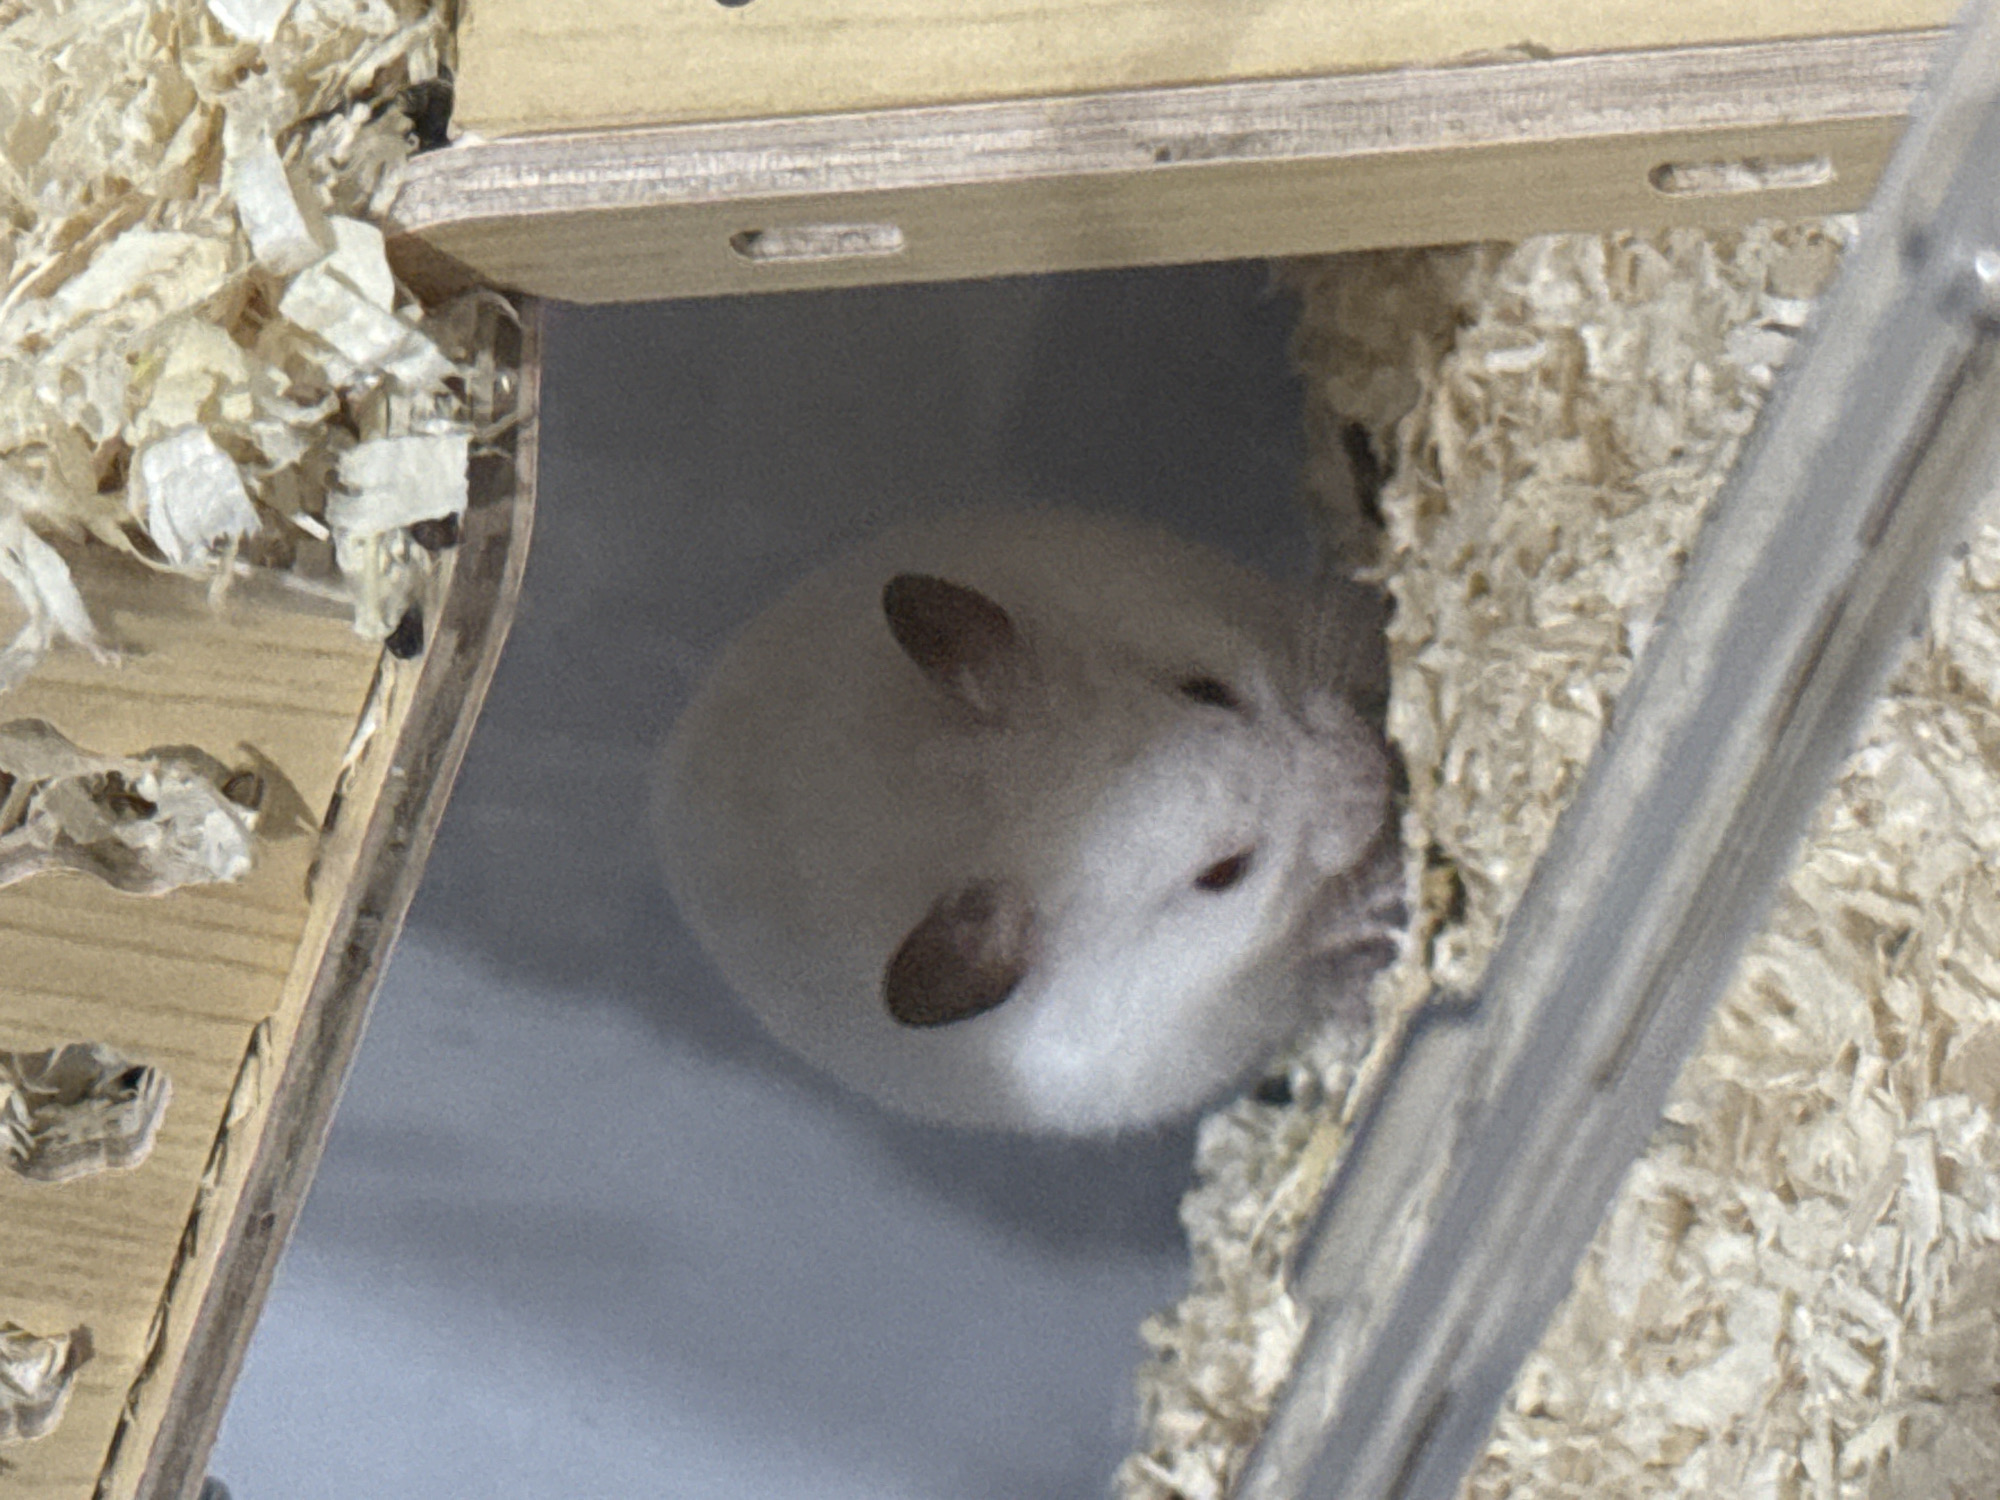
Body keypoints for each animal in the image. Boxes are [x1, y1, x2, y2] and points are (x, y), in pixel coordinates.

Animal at [655, 509, 1402, 1135]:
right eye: (1223, 874)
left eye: (1207, 690)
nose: (1377, 766)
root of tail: (669, 772)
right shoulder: (1224, 1017)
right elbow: (1306, 968)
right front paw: (1377, 908)